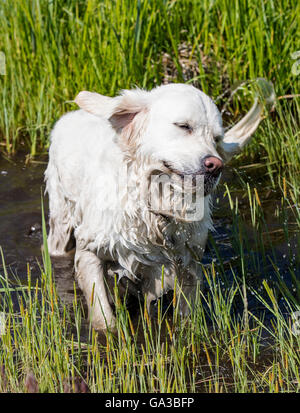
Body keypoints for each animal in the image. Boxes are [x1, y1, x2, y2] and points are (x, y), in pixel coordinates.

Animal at [46, 82, 268, 330]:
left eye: (216, 139)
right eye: (184, 126)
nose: (215, 165)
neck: (154, 202)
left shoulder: (187, 260)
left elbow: (185, 313)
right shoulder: (90, 249)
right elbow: (102, 313)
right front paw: (108, 330)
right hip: (61, 217)